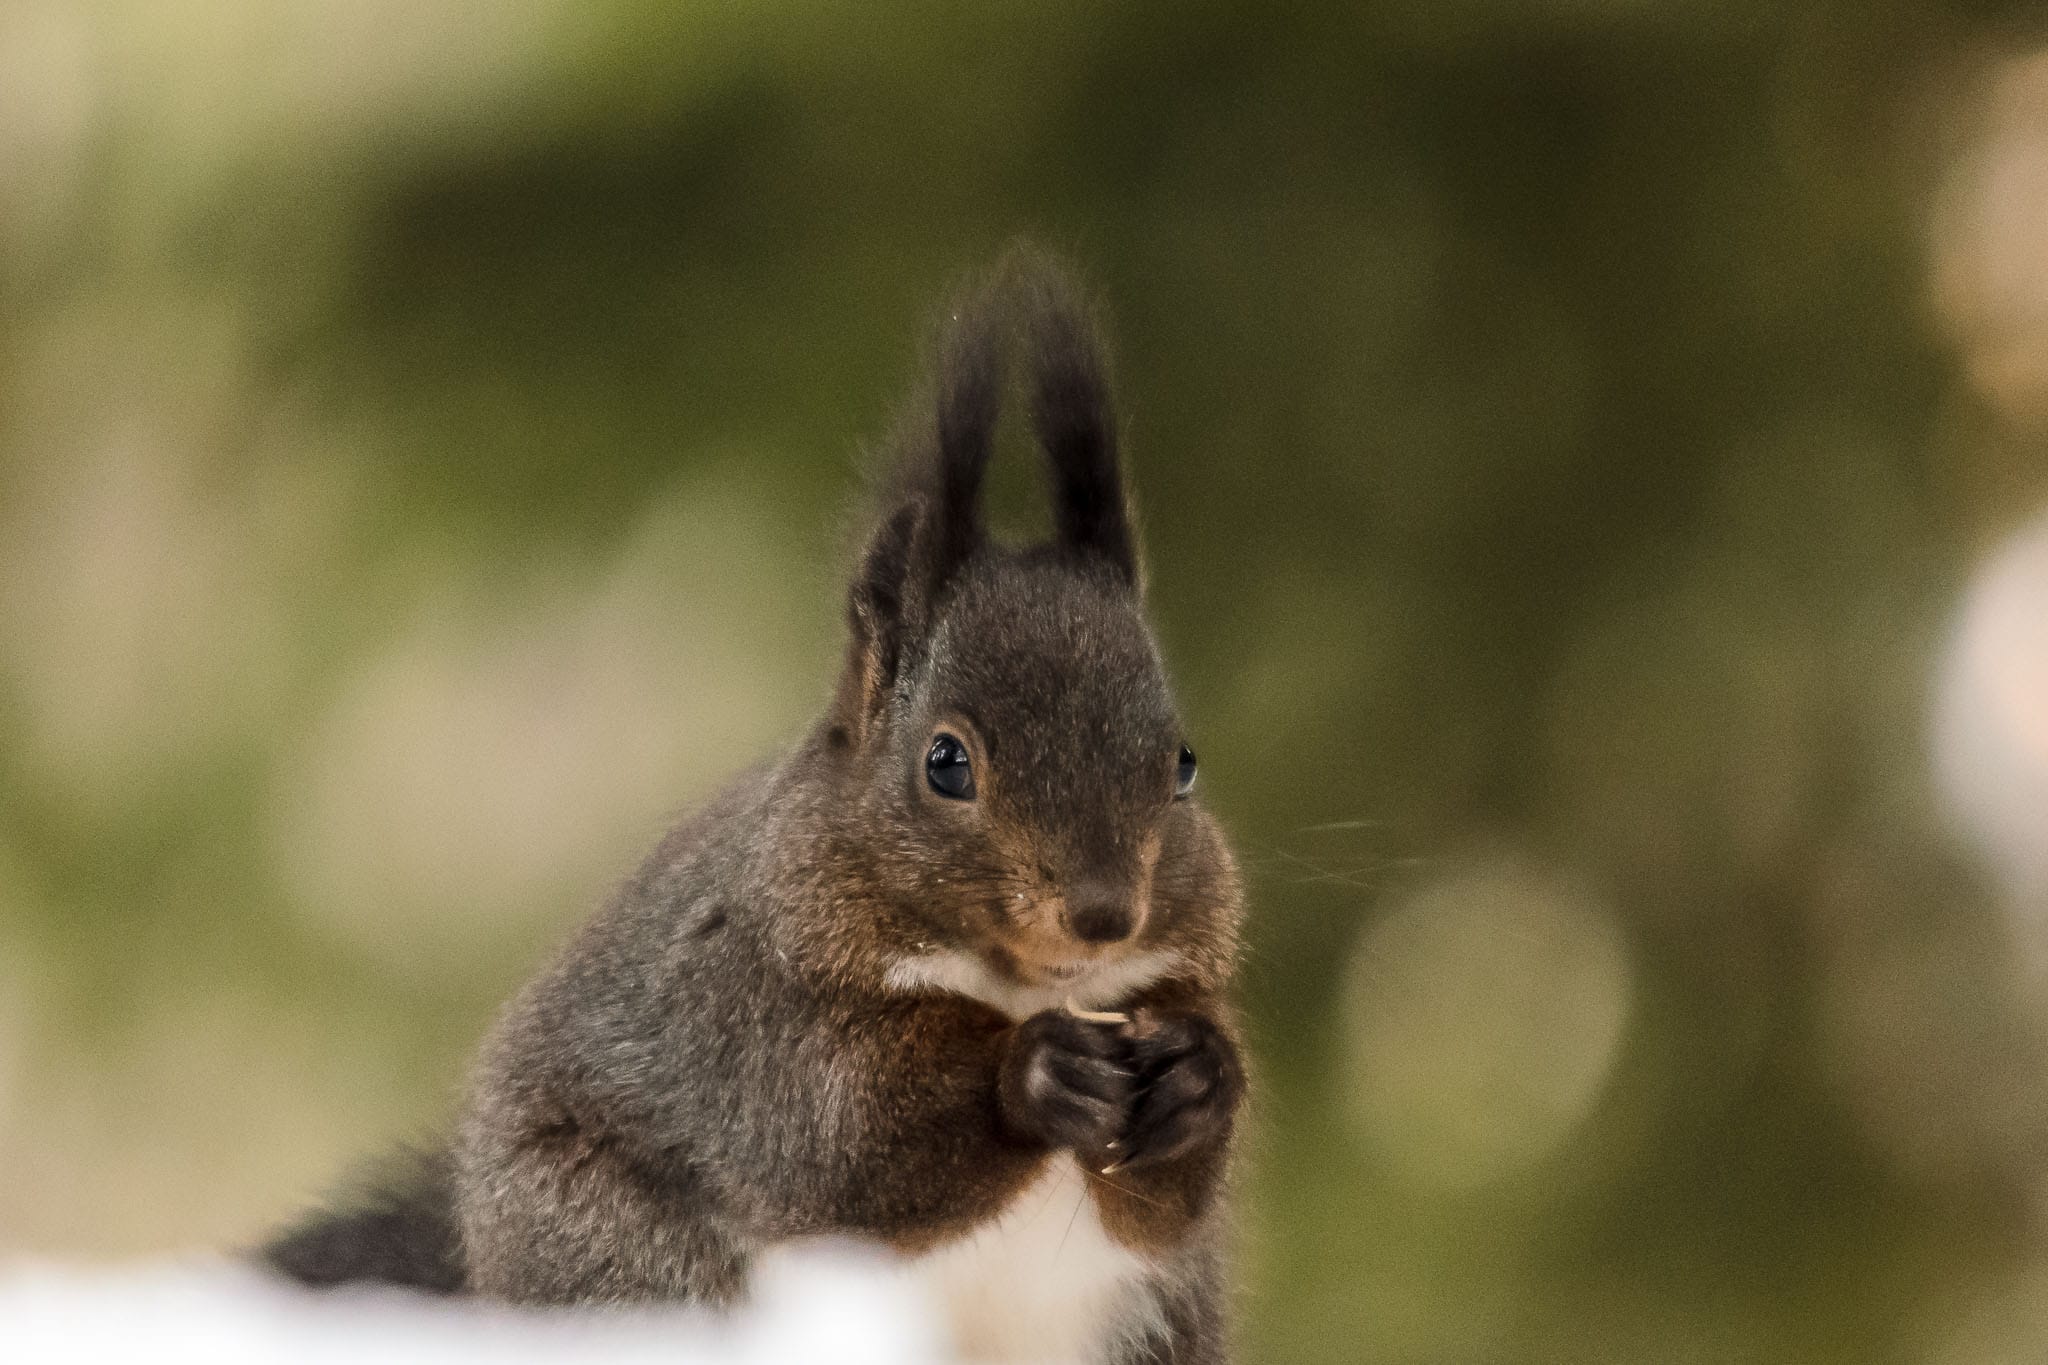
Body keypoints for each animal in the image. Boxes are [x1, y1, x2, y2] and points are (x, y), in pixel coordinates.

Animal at [260, 250, 1248, 1365]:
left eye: (1182, 766)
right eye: (946, 763)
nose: (1103, 914)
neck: (1017, 984)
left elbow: (1161, 1205)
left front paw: (1199, 1076)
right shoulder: (747, 1011)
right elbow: (834, 1142)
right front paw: (1029, 1072)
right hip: (632, 1273)